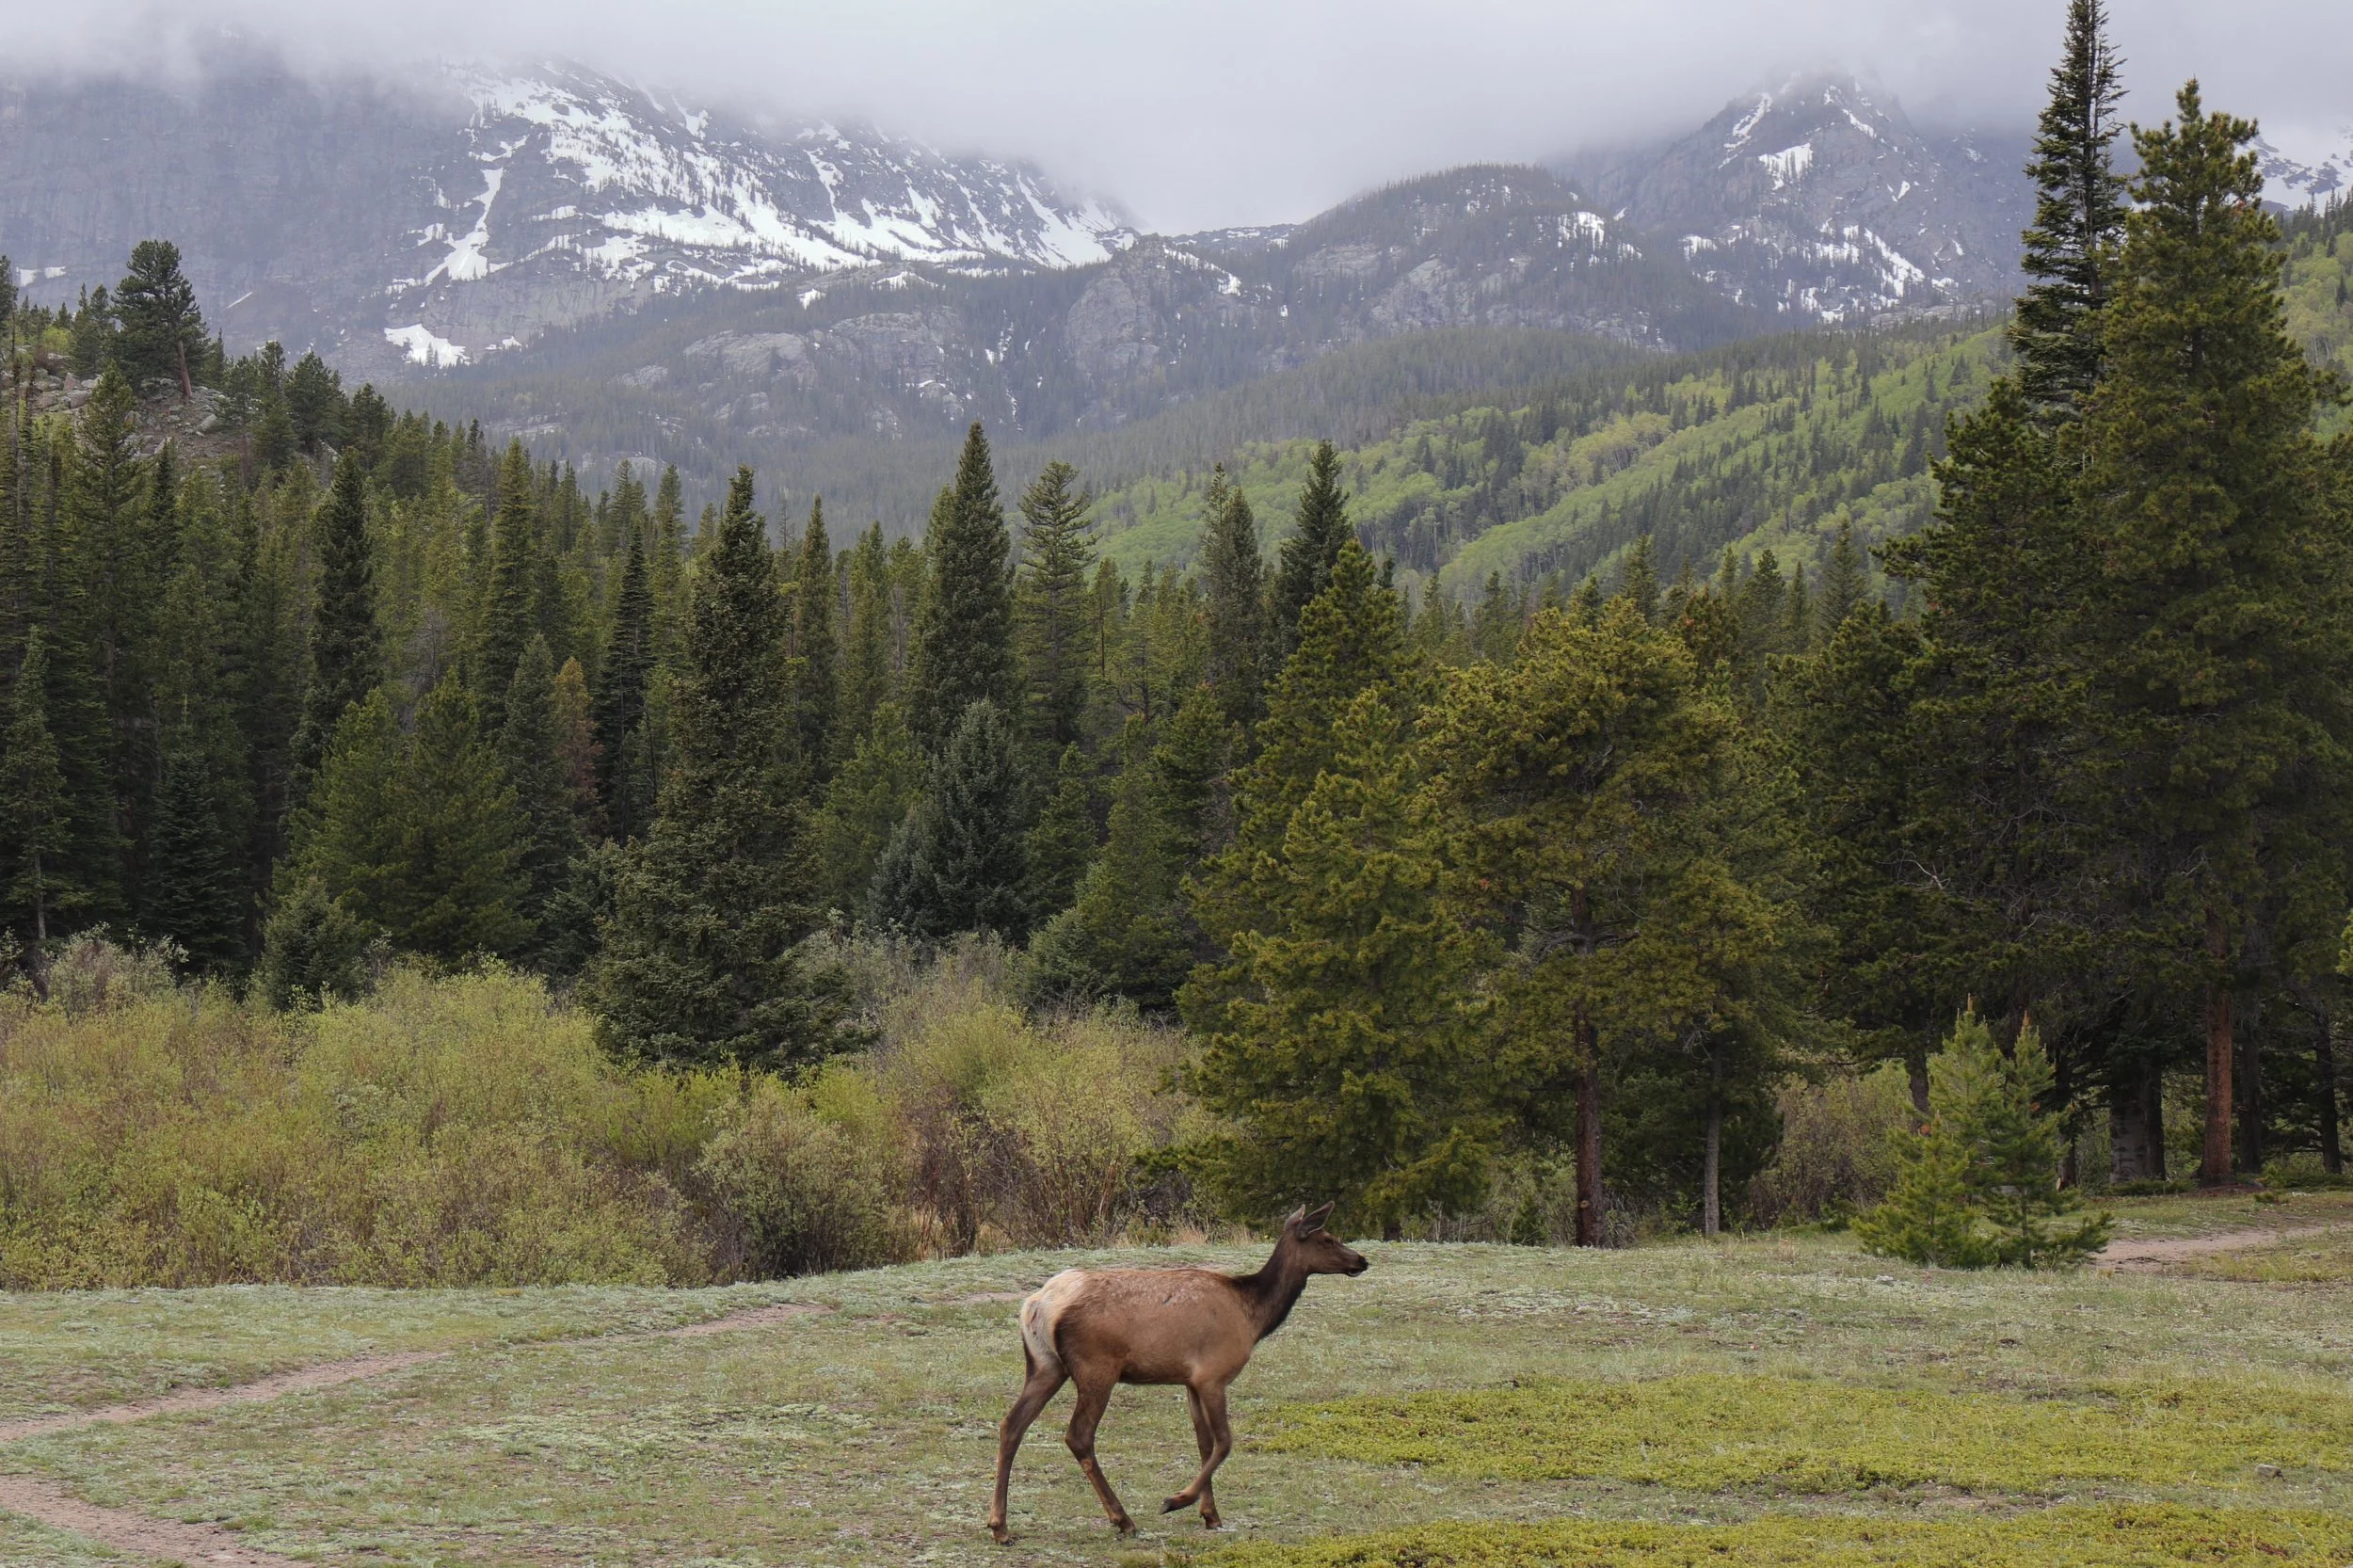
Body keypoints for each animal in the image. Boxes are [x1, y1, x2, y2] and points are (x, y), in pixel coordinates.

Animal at [986, 1202, 1368, 1544]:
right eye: (1328, 1239)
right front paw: (1177, 1500)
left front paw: (1210, 1514)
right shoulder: (1213, 1375)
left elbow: (1203, 1442)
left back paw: (1000, 1527)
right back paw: (1123, 1519)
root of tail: (1037, 1304)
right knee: (1078, 1435)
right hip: (1096, 1367)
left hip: (1045, 1365)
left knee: (1011, 1424)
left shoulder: (1190, 1381)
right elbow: (1225, 1442)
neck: (1253, 1317)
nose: (1362, 1260)